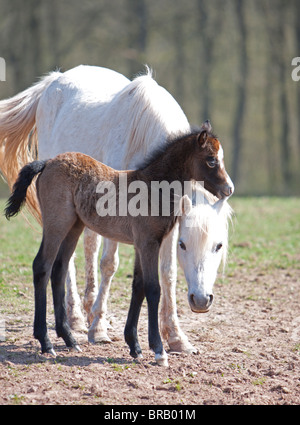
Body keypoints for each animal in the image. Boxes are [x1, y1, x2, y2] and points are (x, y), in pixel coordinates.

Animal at [0, 65, 232, 352]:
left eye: (218, 246)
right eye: (211, 160)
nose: (201, 301)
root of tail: (53, 79)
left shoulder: (157, 236)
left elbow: (161, 277)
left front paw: (174, 338)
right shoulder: (139, 235)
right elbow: (118, 269)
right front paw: (106, 331)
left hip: (76, 223)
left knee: (67, 261)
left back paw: (74, 329)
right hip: (58, 222)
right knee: (51, 265)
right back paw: (68, 326)